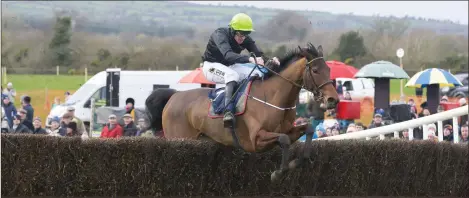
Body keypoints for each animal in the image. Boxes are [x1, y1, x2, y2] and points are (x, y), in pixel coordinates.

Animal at [144, 43, 338, 181]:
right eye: (315, 70)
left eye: (329, 69)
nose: (333, 99)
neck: (273, 96)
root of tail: (174, 96)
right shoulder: (255, 140)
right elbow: (283, 140)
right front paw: (279, 172)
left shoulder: (288, 129)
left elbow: (309, 129)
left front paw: (298, 161)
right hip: (179, 138)